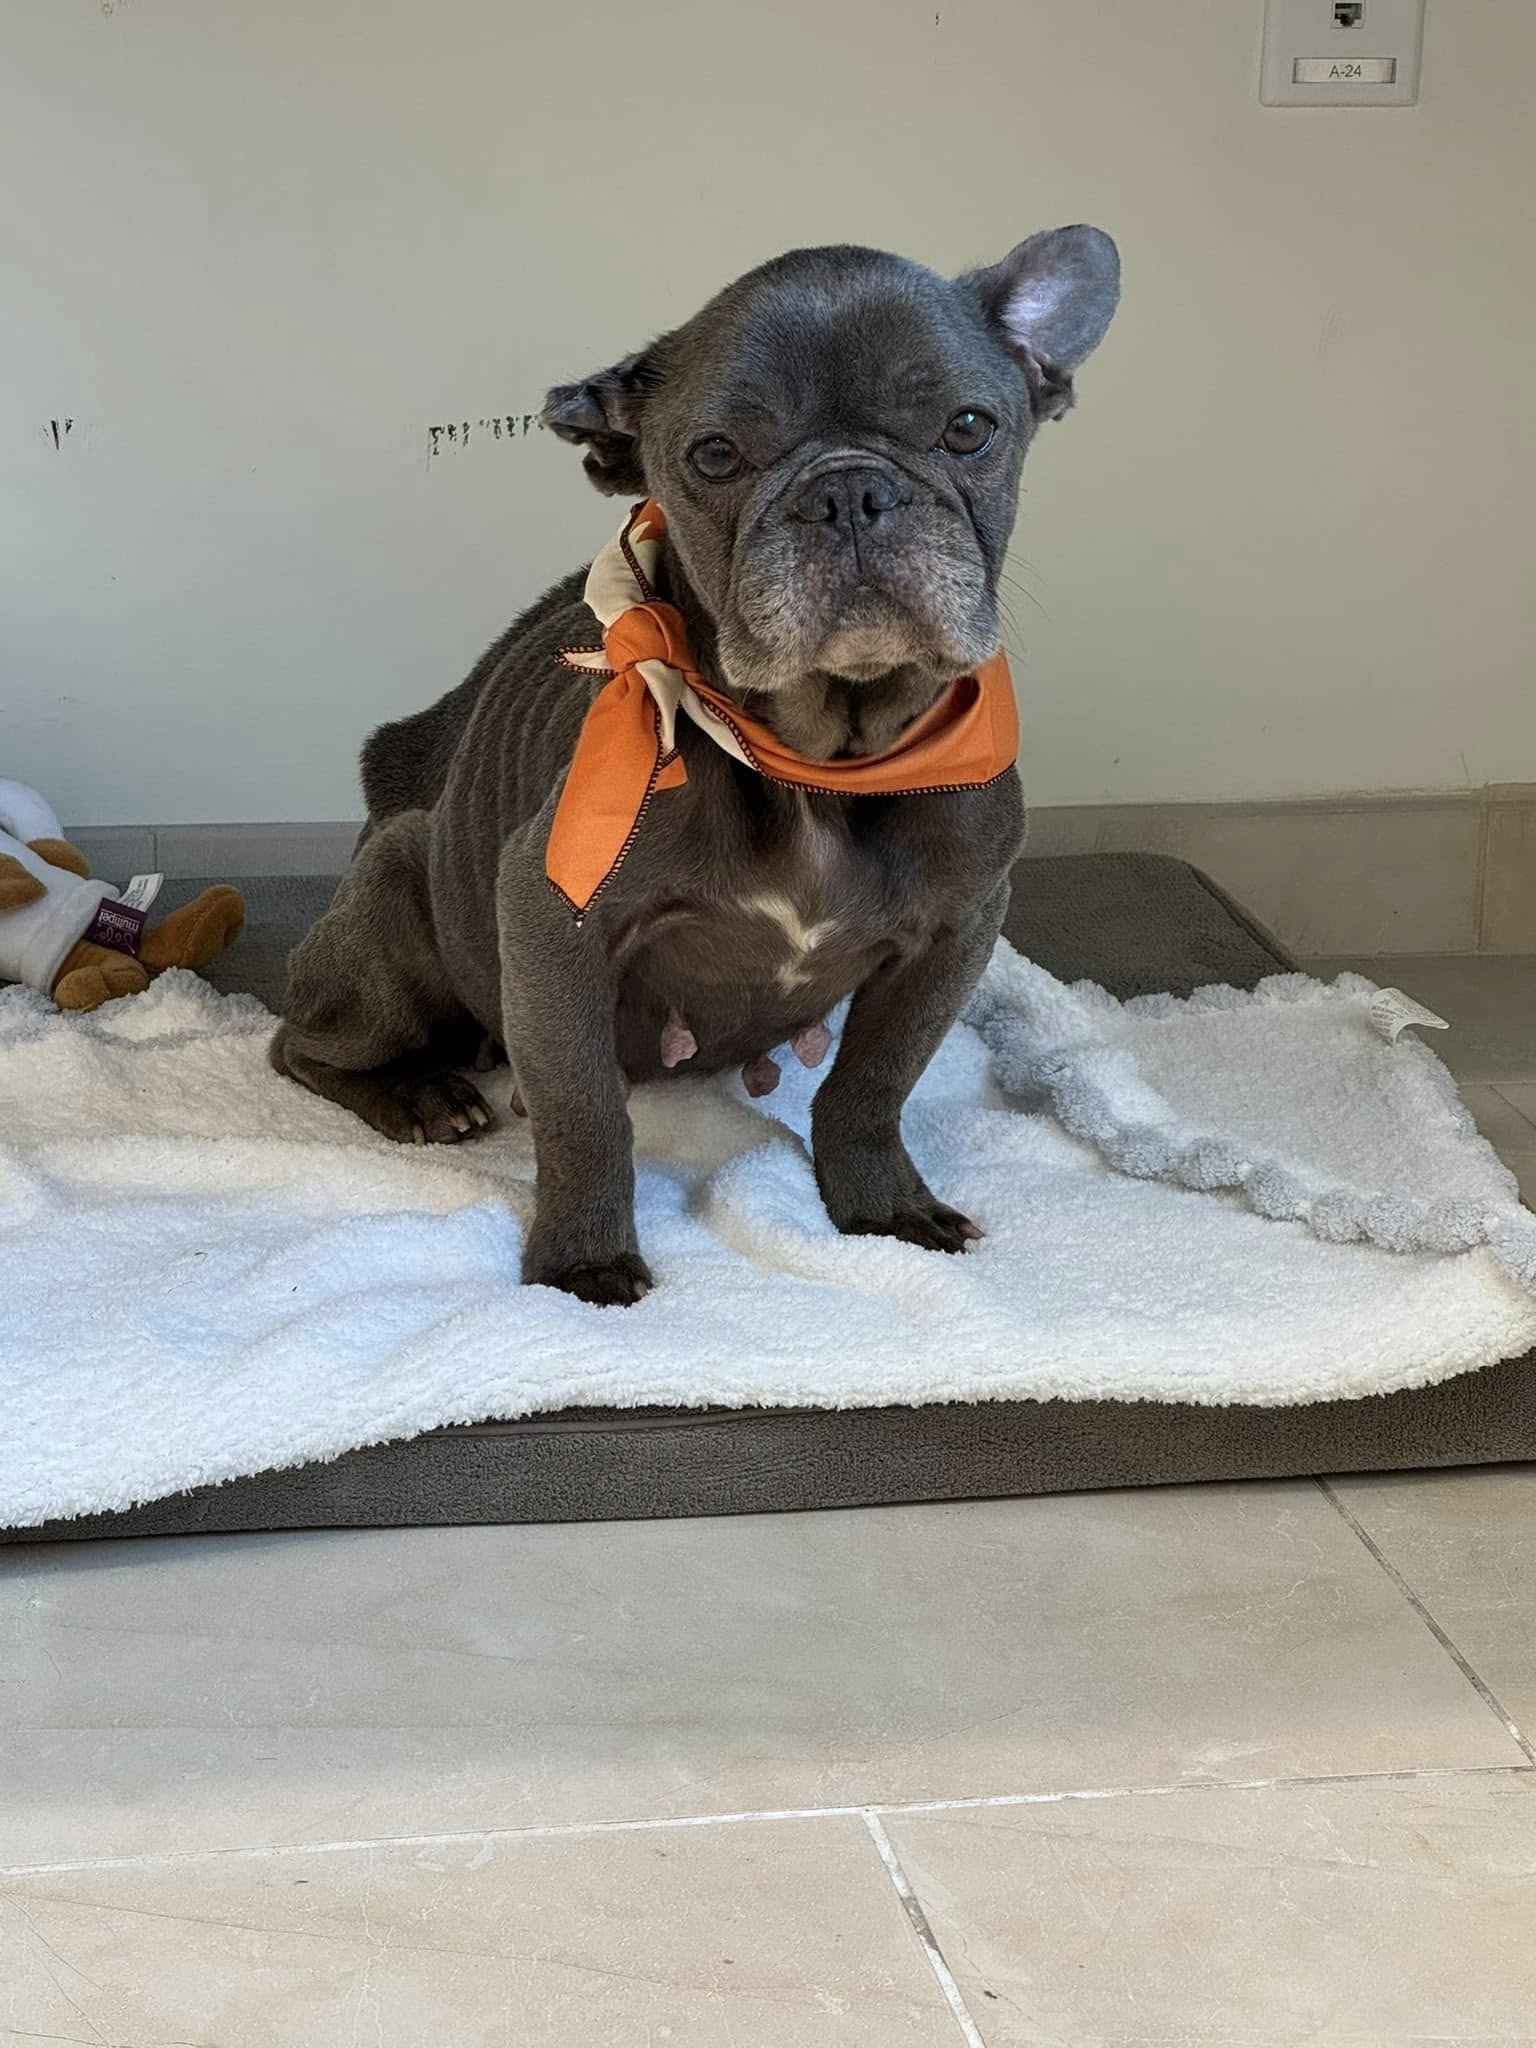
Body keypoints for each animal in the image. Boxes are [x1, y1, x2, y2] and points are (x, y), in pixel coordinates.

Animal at [274, 228, 1122, 1294]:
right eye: (716, 455)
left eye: (970, 428)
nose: (849, 491)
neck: (819, 761)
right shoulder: (552, 917)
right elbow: (585, 1108)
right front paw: (582, 1257)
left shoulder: (957, 931)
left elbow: (872, 1084)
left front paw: (882, 1205)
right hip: (397, 890)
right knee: (300, 1046)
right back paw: (421, 1096)